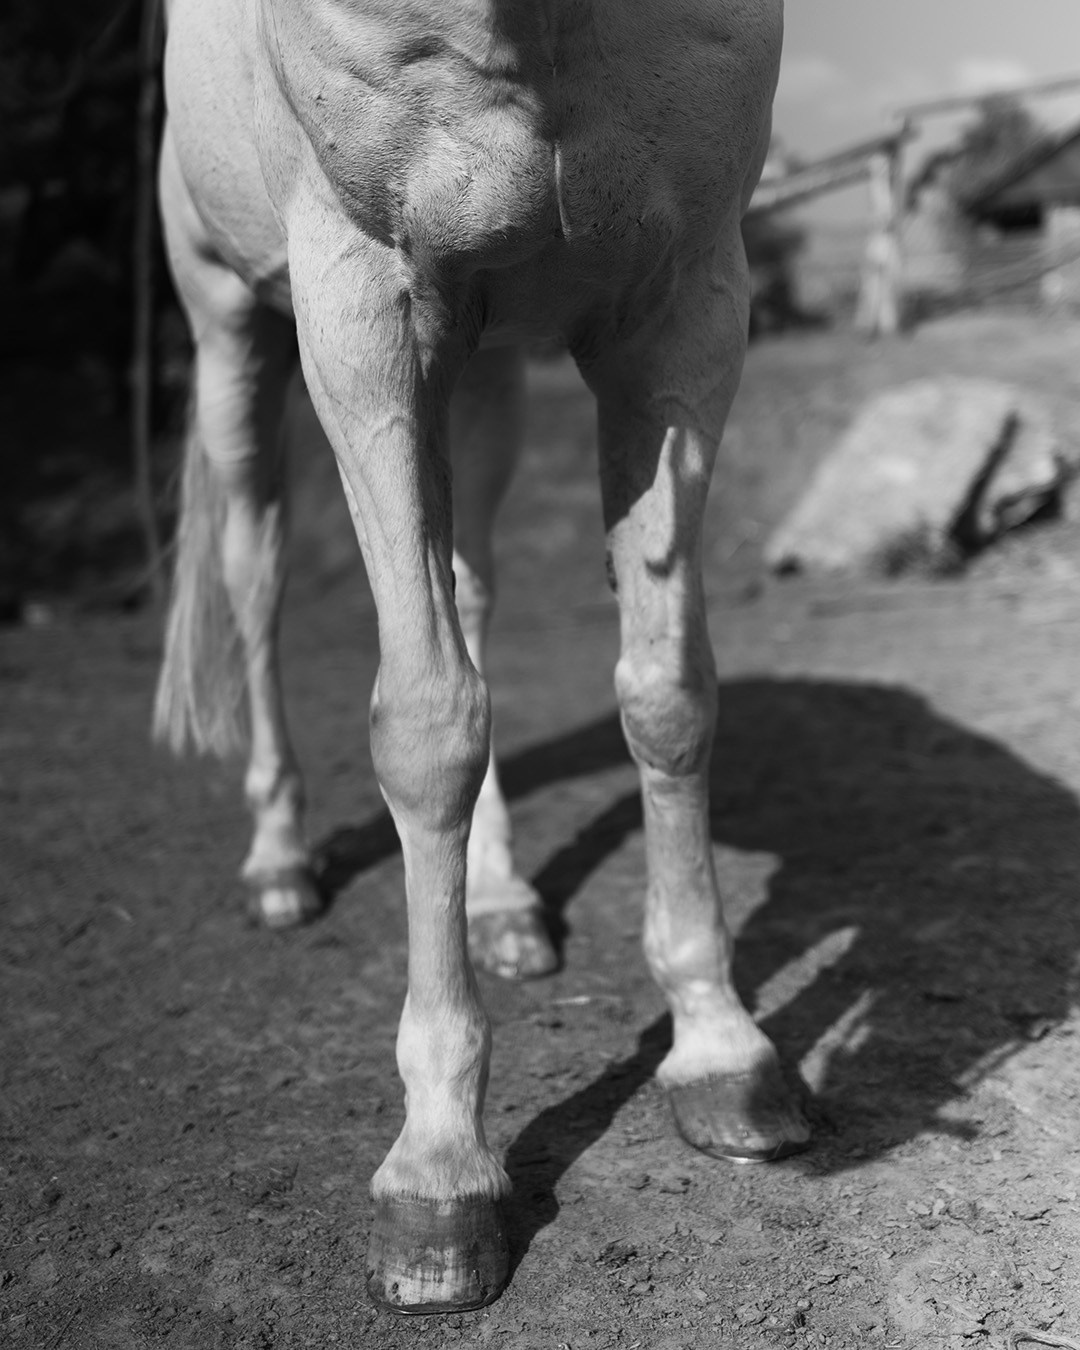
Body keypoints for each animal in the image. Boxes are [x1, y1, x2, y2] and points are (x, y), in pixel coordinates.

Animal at [154, 0, 807, 1315]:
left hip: (487, 367)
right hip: (236, 336)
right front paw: (439, 1177)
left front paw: (722, 1053)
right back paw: (280, 862)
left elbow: (668, 694)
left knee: (471, 589)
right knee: (257, 582)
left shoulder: (685, 306)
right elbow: (424, 724)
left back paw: (506, 904)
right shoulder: (361, 316)